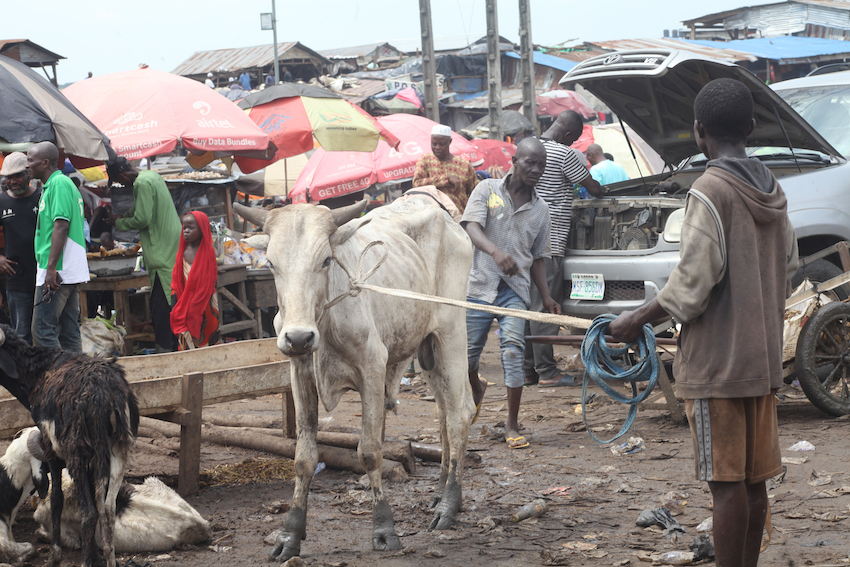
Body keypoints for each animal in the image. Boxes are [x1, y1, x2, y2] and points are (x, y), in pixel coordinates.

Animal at [235, 197, 474, 560]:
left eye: (325, 260)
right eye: (272, 263)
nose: (299, 337)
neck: (325, 317)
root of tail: (449, 219)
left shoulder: (373, 368)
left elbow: (370, 451)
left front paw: (384, 529)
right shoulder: (300, 373)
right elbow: (304, 458)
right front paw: (290, 535)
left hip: (451, 333)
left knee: (458, 416)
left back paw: (448, 505)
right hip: (427, 349)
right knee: (446, 412)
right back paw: (440, 492)